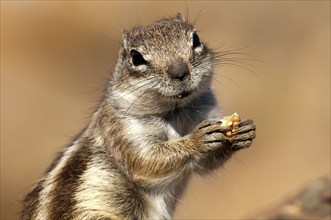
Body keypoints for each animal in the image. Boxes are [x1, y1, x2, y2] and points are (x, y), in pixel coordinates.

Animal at [21, 12, 256, 219]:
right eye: (136, 57)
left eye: (196, 39)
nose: (179, 72)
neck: (174, 111)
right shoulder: (122, 129)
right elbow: (145, 160)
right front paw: (196, 140)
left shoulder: (209, 110)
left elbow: (205, 165)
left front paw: (243, 132)